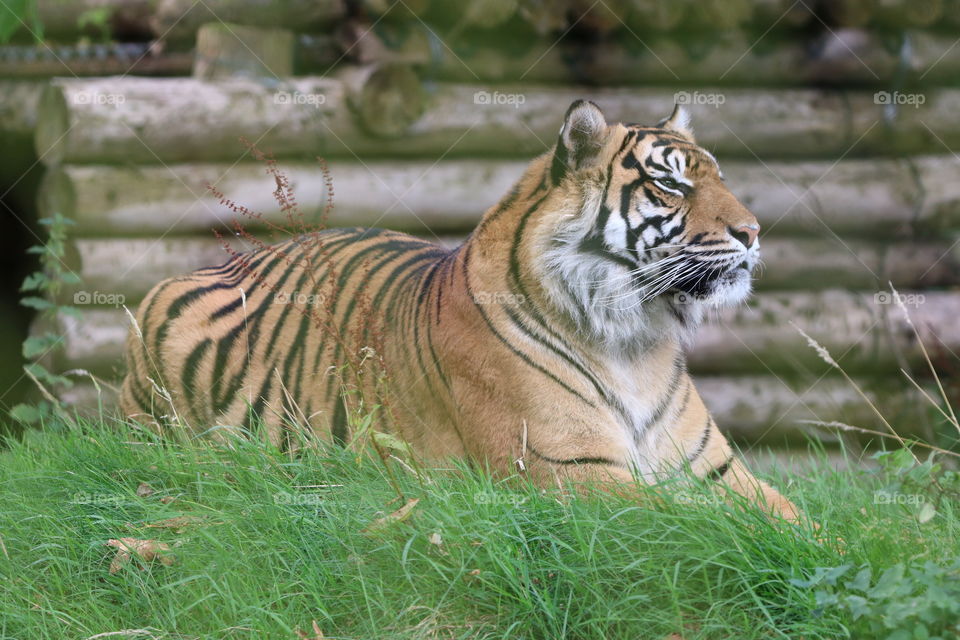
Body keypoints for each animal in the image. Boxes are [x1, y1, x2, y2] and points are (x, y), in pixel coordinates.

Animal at [120, 99, 802, 523]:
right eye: (671, 185)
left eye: (718, 177)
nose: (753, 232)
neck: (635, 341)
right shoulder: (574, 473)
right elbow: (713, 525)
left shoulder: (717, 471)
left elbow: (796, 519)